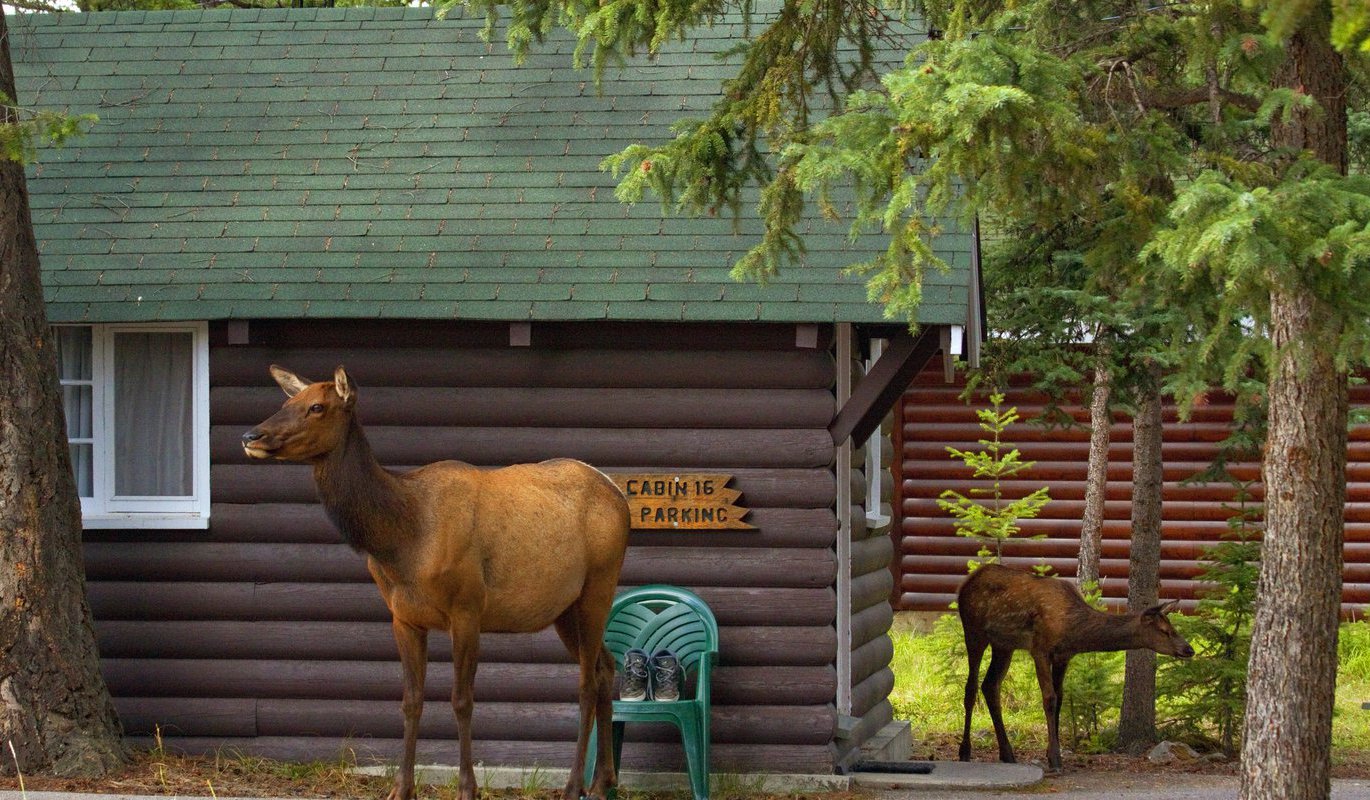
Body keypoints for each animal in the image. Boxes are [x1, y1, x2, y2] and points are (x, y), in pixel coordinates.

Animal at [243, 367, 627, 800]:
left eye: (317, 407)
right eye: (286, 401)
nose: (251, 436)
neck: (402, 539)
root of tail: (618, 494)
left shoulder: (468, 607)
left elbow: (462, 700)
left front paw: (467, 789)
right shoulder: (403, 617)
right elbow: (411, 701)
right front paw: (400, 789)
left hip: (599, 583)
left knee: (585, 683)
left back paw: (575, 786)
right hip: (566, 608)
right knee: (605, 668)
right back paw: (604, 781)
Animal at [959, 561, 1194, 772]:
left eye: (1173, 627)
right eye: (1164, 630)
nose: (1189, 649)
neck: (1072, 630)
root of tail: (966, 582)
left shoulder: (1063, 656)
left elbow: (1060, 699)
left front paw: (1052, 753)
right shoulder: (1040, 648)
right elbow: (1049, 699)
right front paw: (1055, 759)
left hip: (1003, 645)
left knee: (990, 686)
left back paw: (1007, 753)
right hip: (973, 630)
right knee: (971, 688)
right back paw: (965, 751)